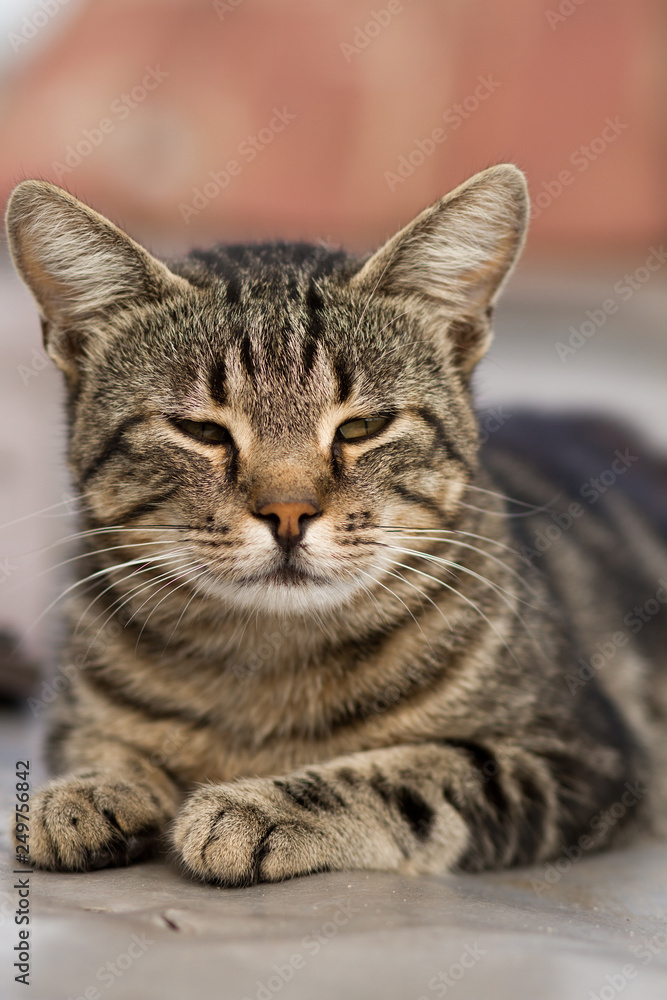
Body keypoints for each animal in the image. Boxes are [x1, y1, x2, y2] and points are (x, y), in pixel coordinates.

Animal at [6, 164, 667, 884]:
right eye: (201, 431)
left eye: (361, 427)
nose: (288, 512)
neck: (267, 660)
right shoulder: (77, 715)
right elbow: (99, 742)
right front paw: (88, 790)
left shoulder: (577, 758)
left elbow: (412, 776)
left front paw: (255, 807)